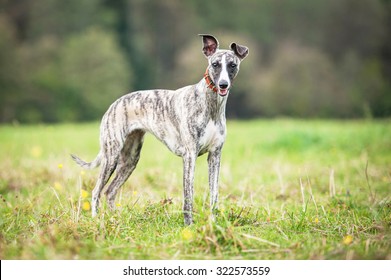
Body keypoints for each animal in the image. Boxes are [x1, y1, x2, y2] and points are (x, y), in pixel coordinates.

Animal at [72, 34, 250, 225]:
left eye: (232, 65)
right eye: (215, 64)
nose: (223, 85)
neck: (210, 106)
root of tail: (114, 104)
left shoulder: (215, 155)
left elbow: (214, 194)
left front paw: (213, 222)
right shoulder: (190, 156)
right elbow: (188, 195)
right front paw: (189, 225)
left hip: (130, 159)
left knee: (110, 191)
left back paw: (115, 219)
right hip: (111, 155)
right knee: (96, 191)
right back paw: (96, 219)